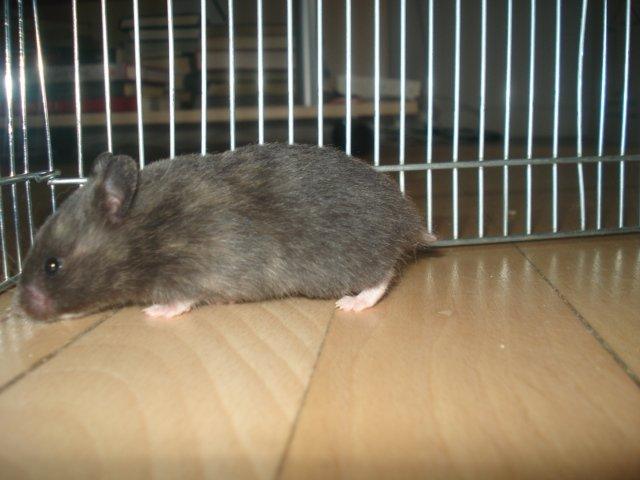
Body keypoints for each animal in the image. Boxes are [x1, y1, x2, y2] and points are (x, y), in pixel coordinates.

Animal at [14, 143, 435, 321]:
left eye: (52, 265)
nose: (23, 309)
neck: (144, 233)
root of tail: (411, 223)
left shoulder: (191, 273)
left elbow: (180, 301)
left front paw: (153, 312)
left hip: (341, 265)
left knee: (382, 277)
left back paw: (351, 304)